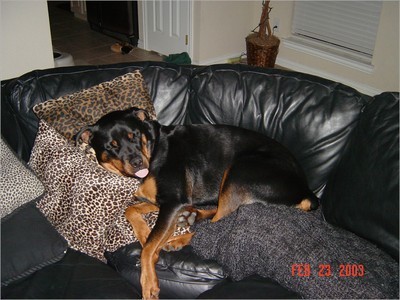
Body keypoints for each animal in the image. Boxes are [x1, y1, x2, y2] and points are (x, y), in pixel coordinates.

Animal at [76, 106, 318, 298]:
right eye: (112, 145)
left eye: (134, 135)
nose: (137, 162)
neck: (152, 148)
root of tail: (306, 190)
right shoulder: (165, 202)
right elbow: (132, 211)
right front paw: (145, 233)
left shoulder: (173, 200)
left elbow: (148, 248)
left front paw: (149, 283)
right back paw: (190, 218)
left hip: (240, 171)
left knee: (220, 226)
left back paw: (179, 238)